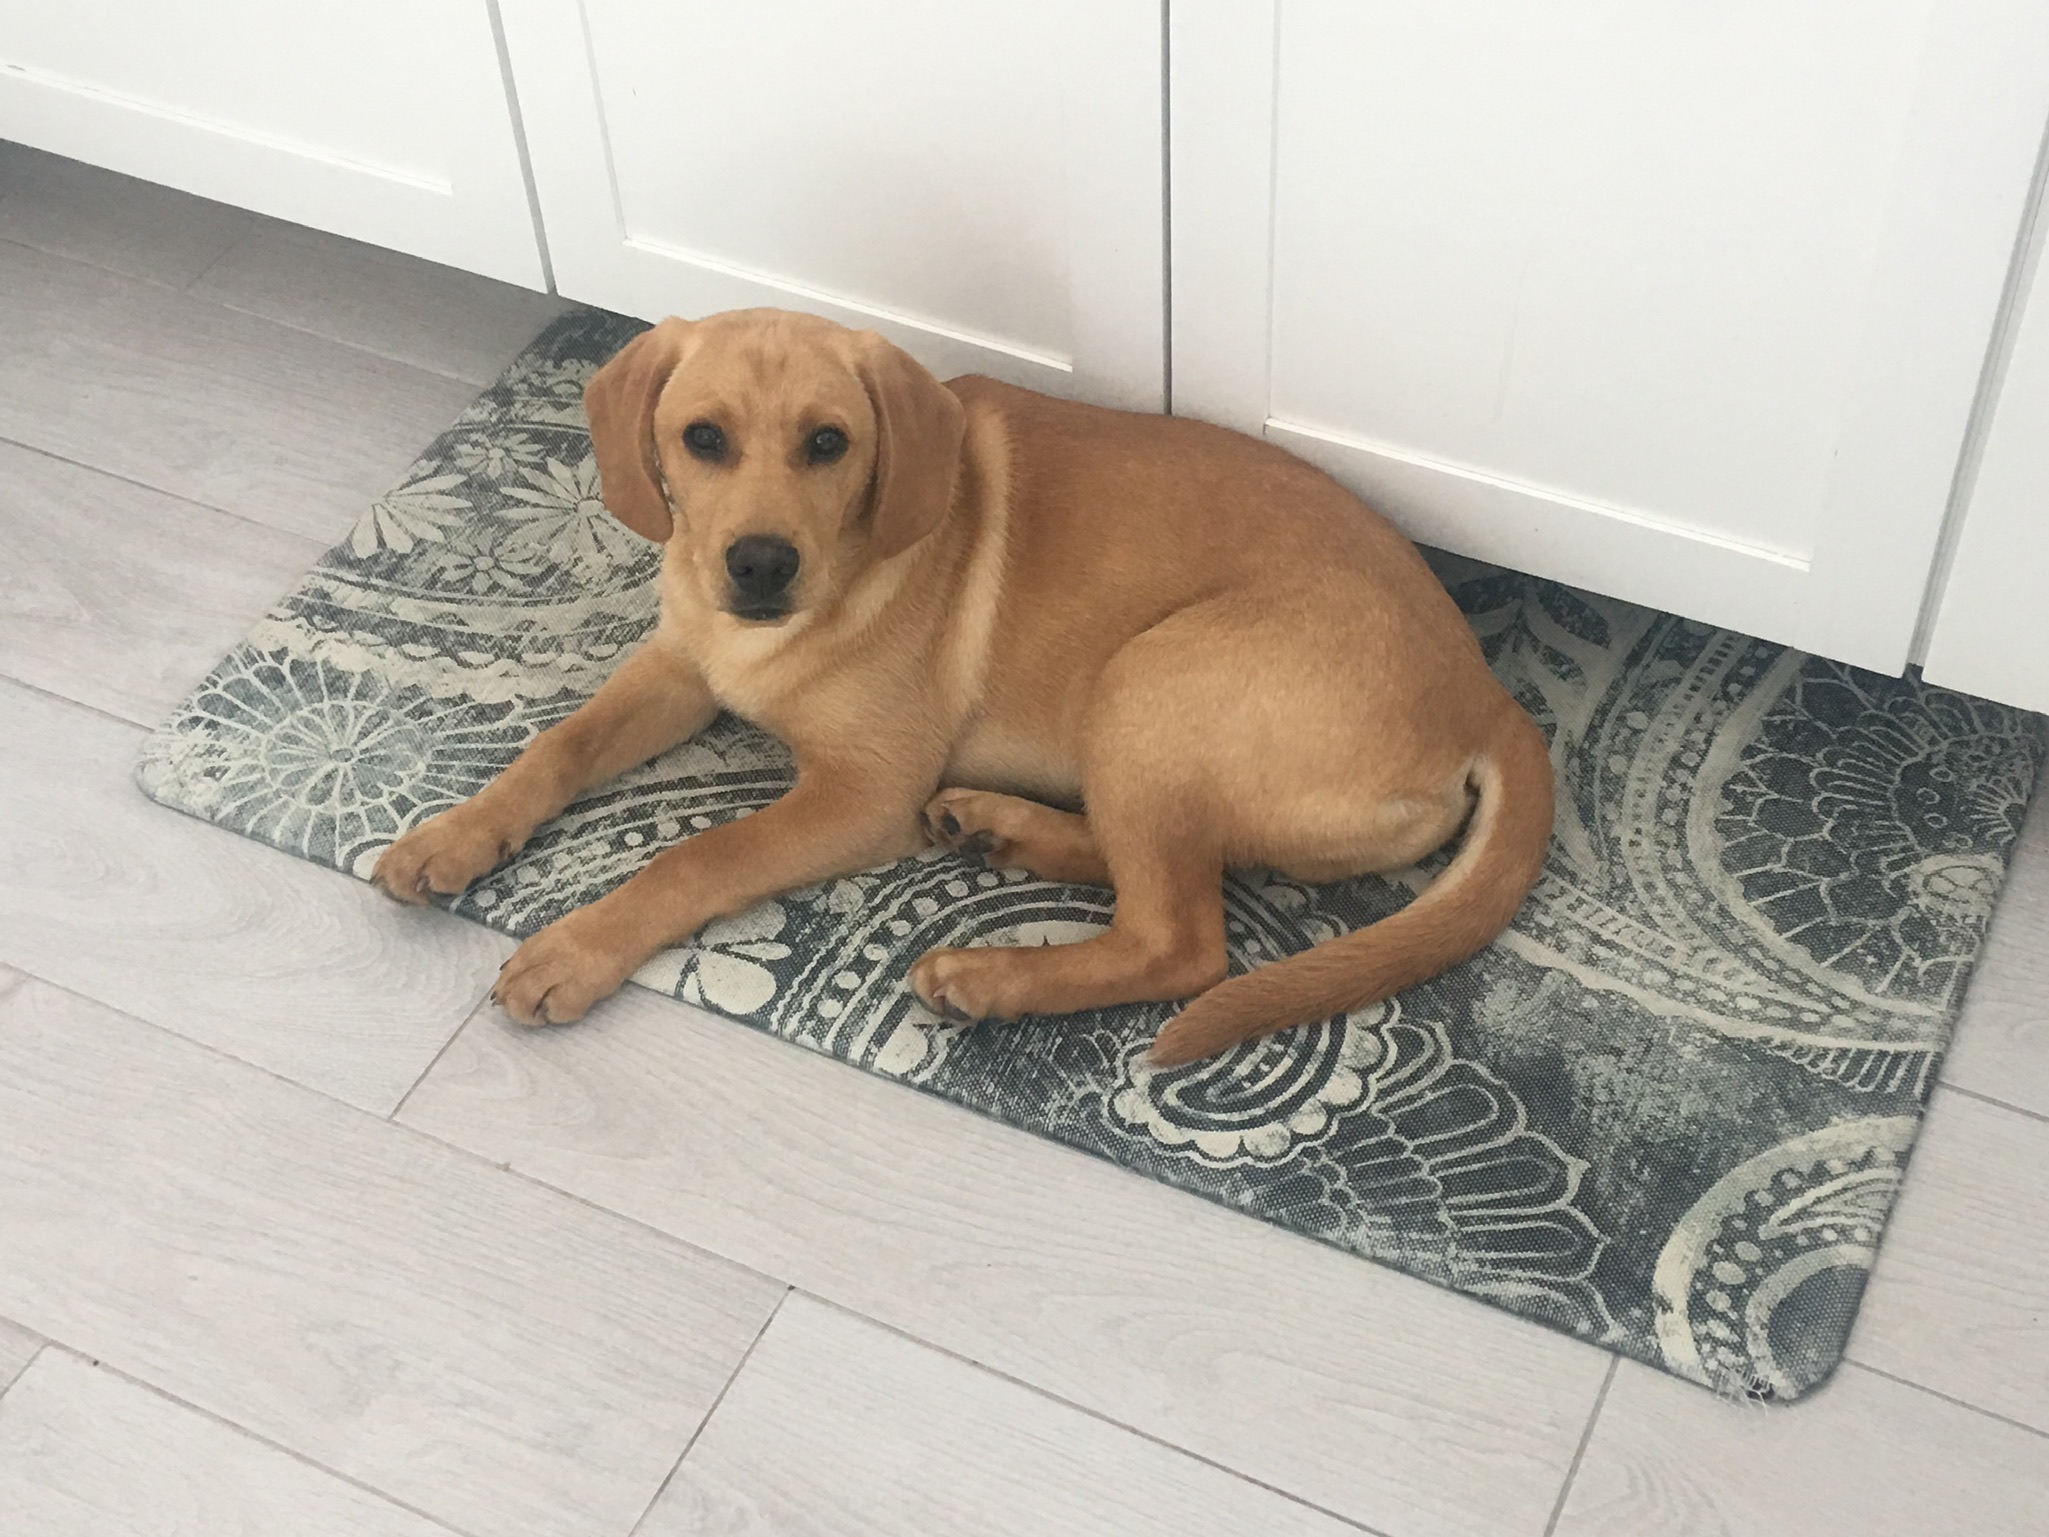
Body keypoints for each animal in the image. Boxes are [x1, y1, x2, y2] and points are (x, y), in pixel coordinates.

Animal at [373, 308, 1554, 1065]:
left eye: (829, 443)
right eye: (700, 438)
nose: (758, 565)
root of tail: (1487, 696)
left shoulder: (858, 793)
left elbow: (698, 856)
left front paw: (574, 949)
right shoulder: (677, 667)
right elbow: (558, 746)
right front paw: (455, 834)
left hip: (1152, 677)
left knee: (1180, 937)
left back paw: (992, 976)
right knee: (1168, 871)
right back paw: (997, 826)